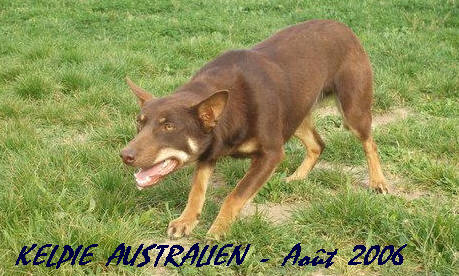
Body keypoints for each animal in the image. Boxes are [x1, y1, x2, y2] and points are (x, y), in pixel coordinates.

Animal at [121, 20, 388, 239]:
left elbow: (235, 195)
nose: (124, 155)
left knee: (370, 143)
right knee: (317, 144)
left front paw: (218, 228)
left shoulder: (270, 154)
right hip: (295, 114)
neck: (229, 111)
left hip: (353, 111)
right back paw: (296, 178)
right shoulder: (209, 152)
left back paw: (378, 181)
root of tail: (343, 27)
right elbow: (197, 190)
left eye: (169, 126)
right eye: (139, 122)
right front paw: (186, 220)